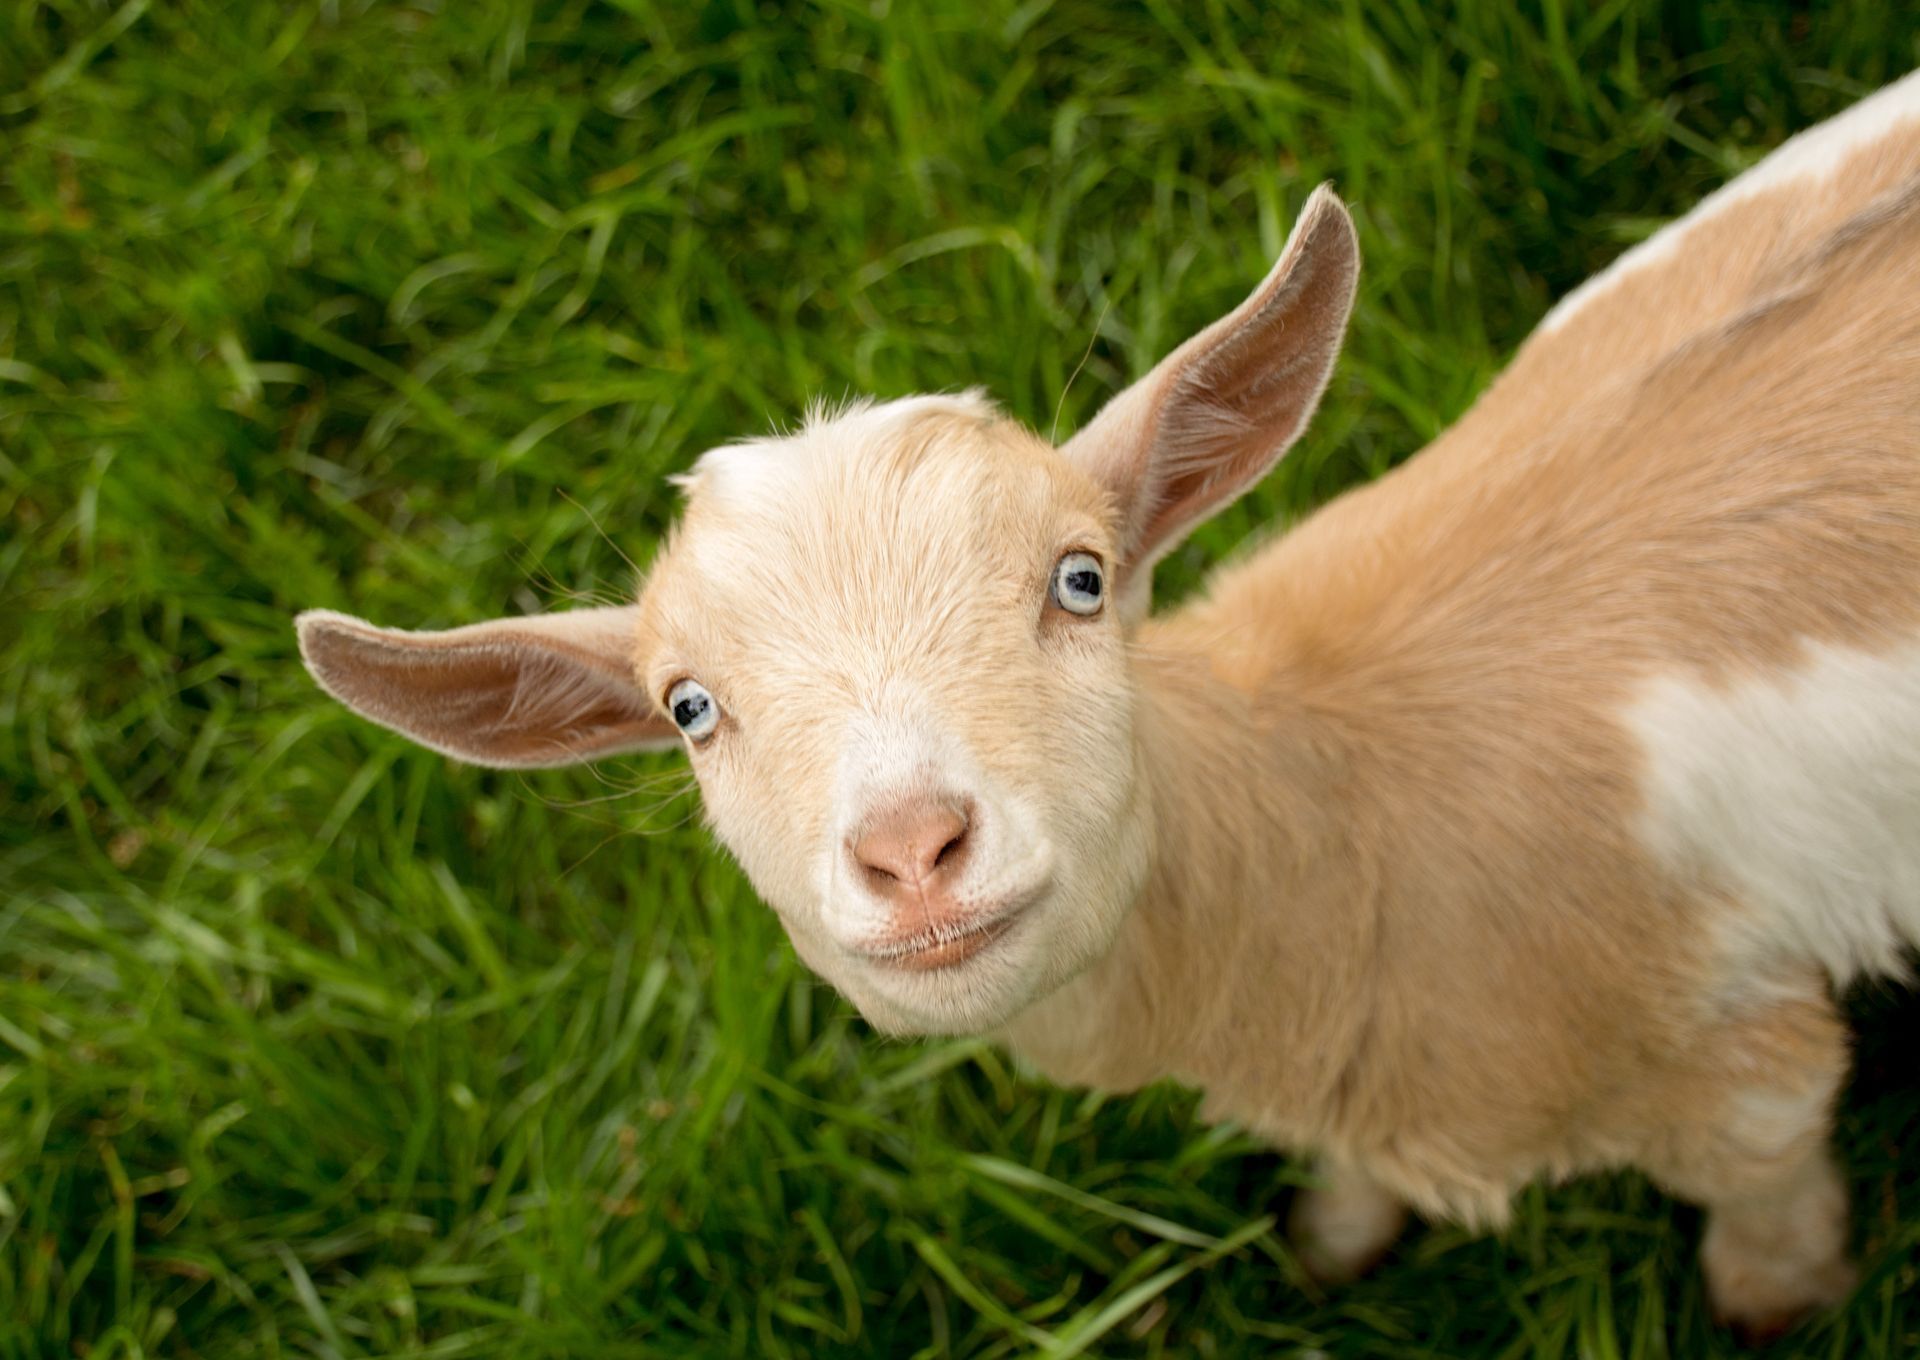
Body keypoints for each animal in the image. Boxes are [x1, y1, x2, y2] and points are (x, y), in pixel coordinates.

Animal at [297, 70, 1920, 1337]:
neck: (1348, 811)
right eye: (691, 707)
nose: (912, 851)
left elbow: (1765, 1226)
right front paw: (1332, 1240)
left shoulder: (1747, 1072)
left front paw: (1783, 1301)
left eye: (1079, 580)